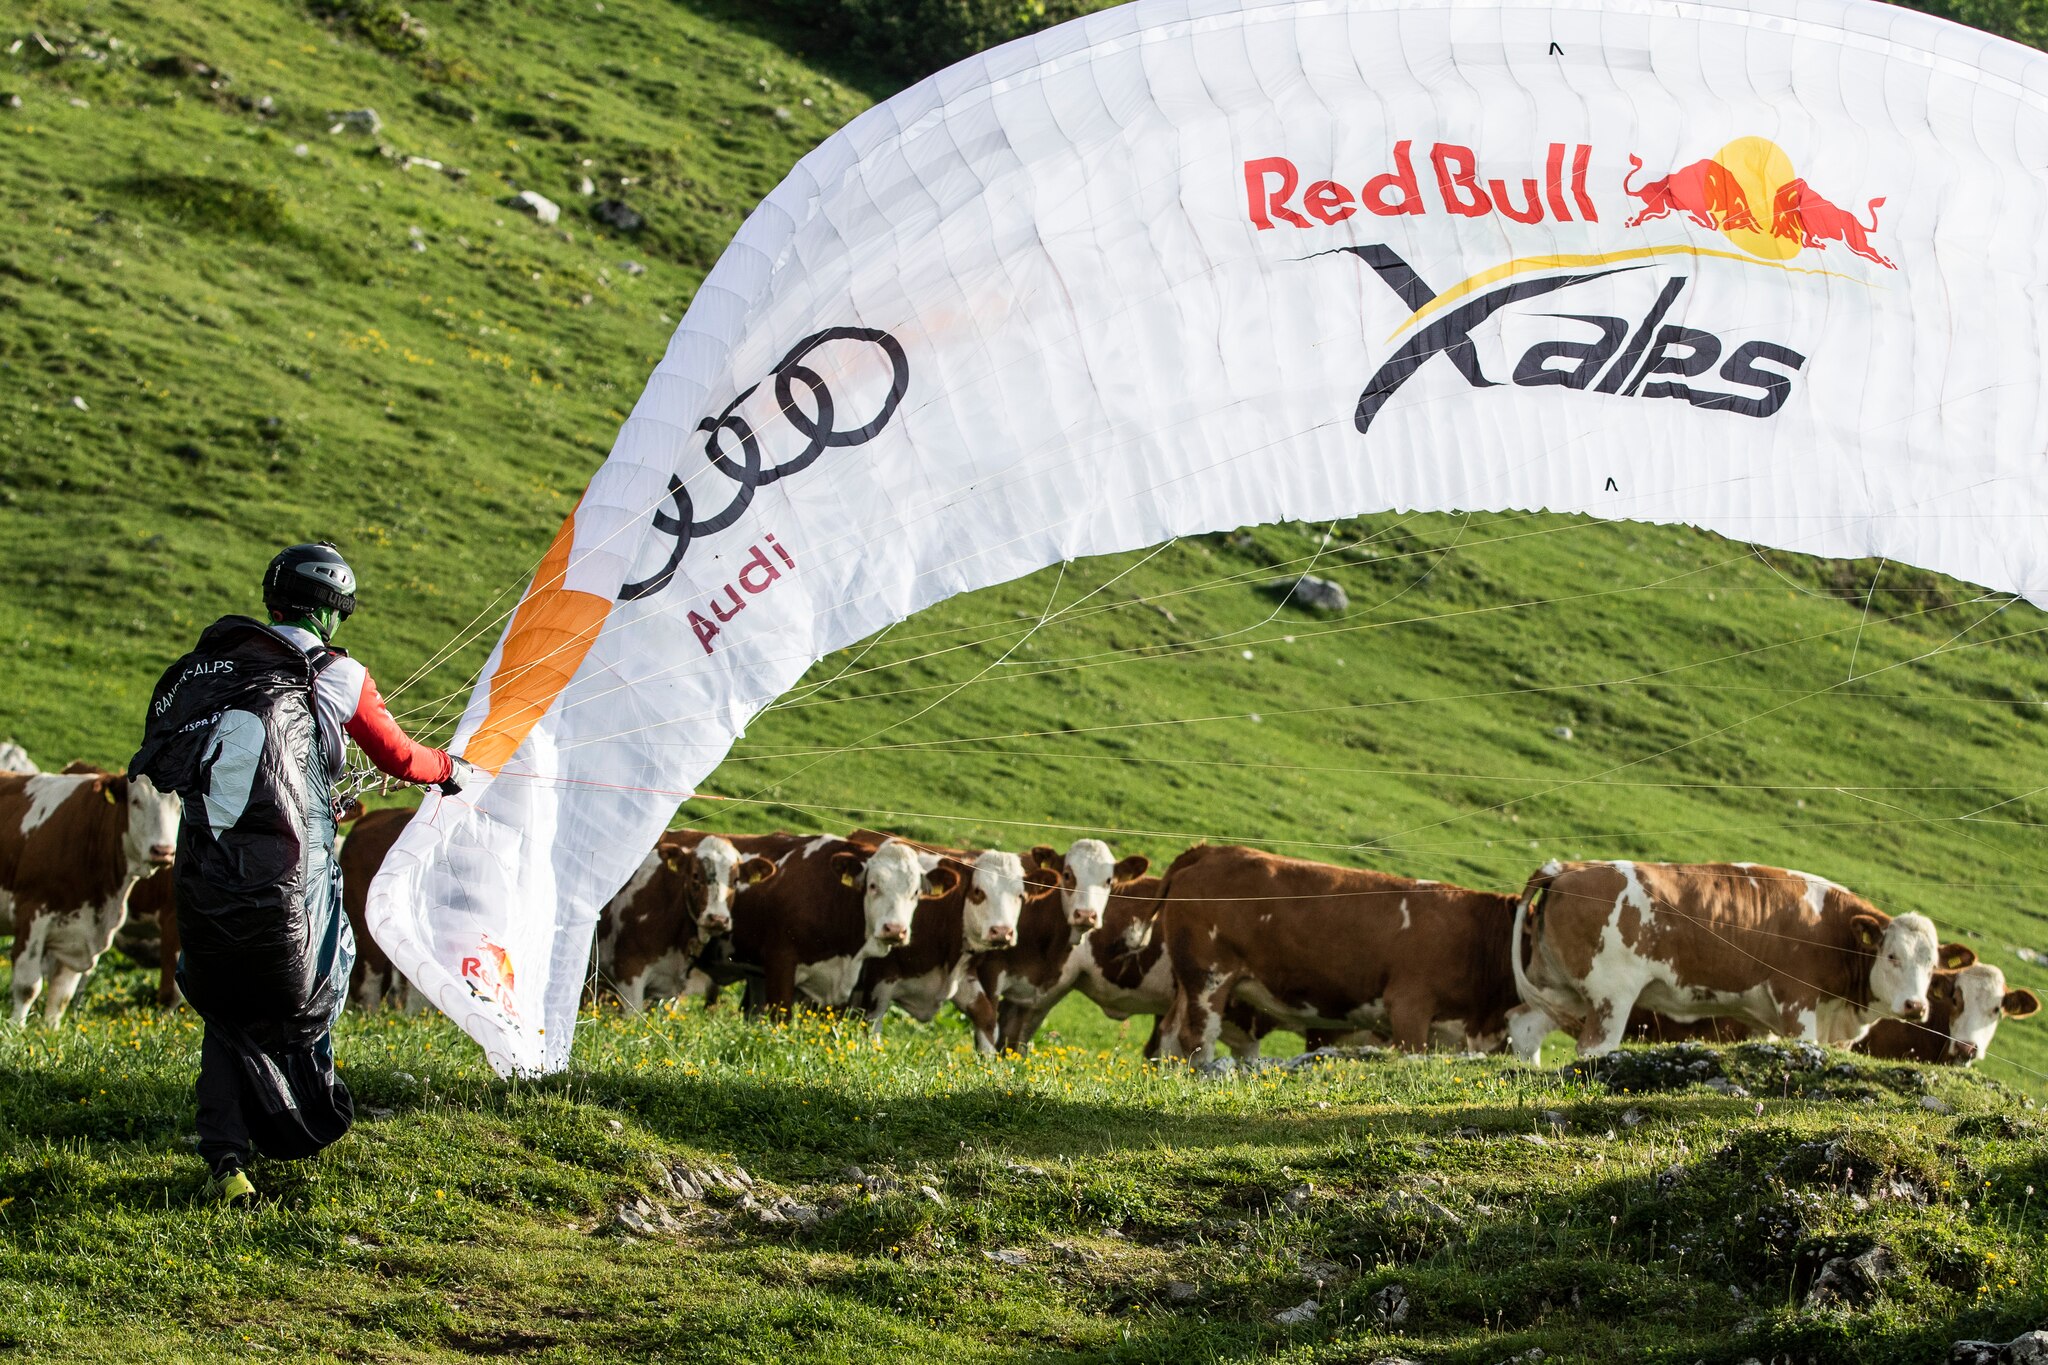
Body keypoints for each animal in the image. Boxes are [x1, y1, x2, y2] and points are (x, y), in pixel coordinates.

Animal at [3, 769, 180, 1023]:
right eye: (136, 801)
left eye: (179, 806)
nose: (164, 851)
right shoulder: (31, 912)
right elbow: (27, 987)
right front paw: (16, 1027)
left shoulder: (79, 934)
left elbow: (62, 996)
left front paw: (49, 1029)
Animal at [1155, 843, 1523, 1064]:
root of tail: (1212, 849)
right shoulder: (1409, 1005)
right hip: (1209, 976)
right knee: (1196, 1038)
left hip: (1187, 981)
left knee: (1170, 1035)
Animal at [1515, 859, 1941, 1064]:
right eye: (1892, 956)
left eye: (1932, 965)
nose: (1916, 1006)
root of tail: (1566, 868)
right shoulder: (1797, 1002)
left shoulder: (1763, 1020)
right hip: (1610, 996)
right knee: (1594, 1048)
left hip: (1558, 988)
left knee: (1525, 1028)